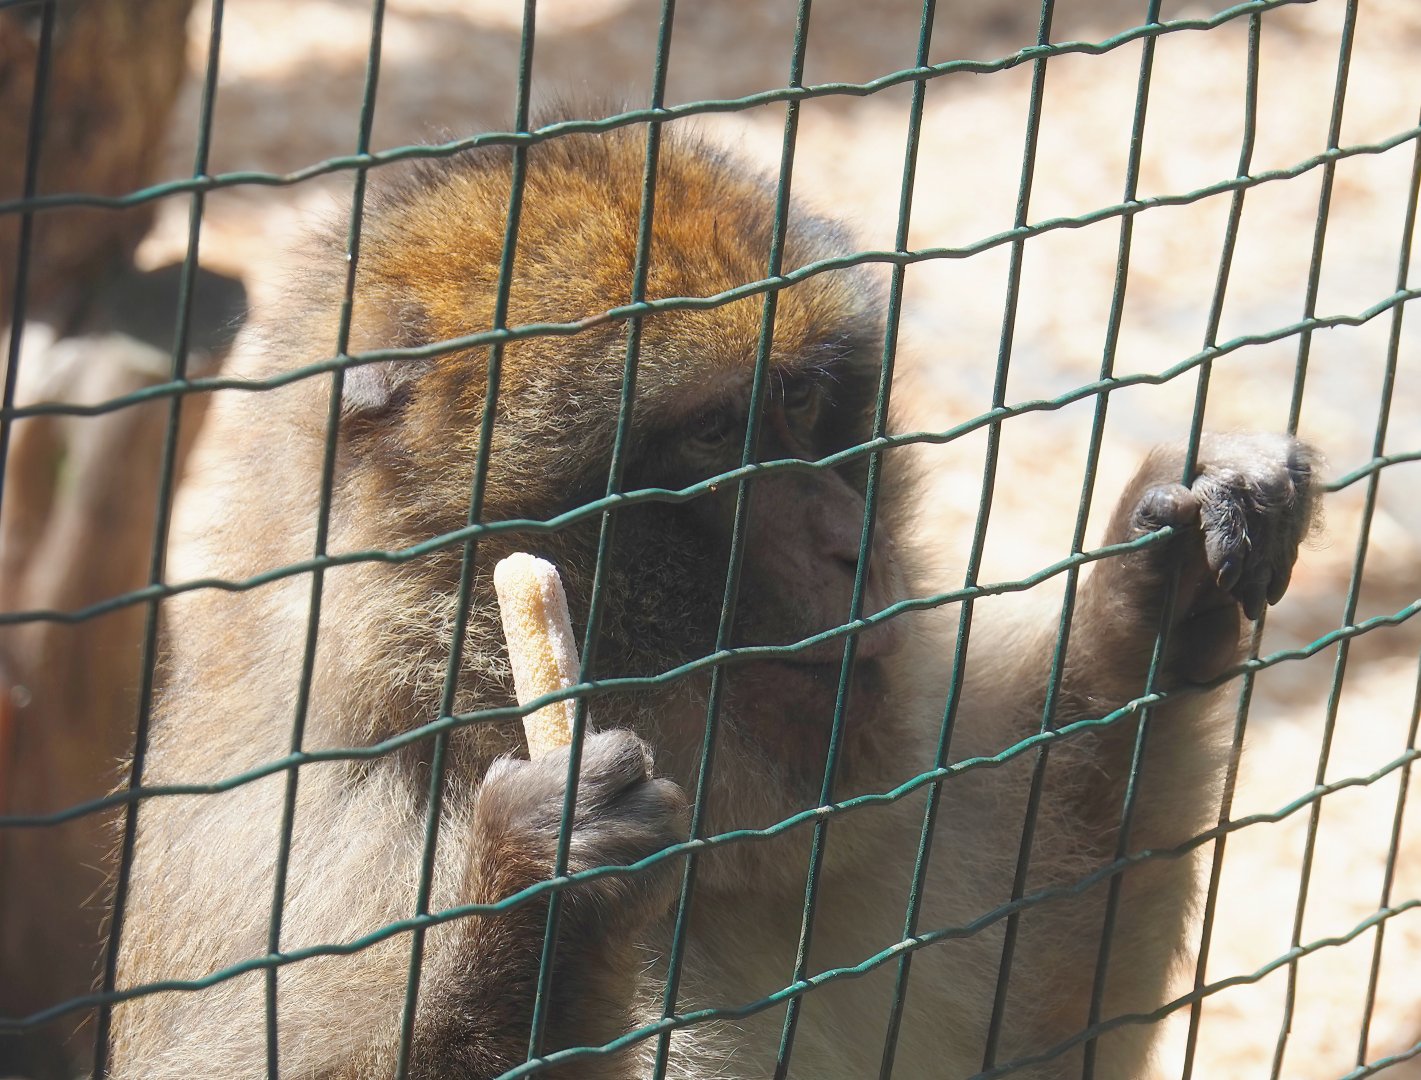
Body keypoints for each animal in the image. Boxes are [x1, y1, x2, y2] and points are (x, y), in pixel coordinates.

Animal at [107, 123, 1317, 1080]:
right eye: (705, 438)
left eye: (797, 401)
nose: (849, 543)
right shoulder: (307, 847)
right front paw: (550, 897)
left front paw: (1153, 593)